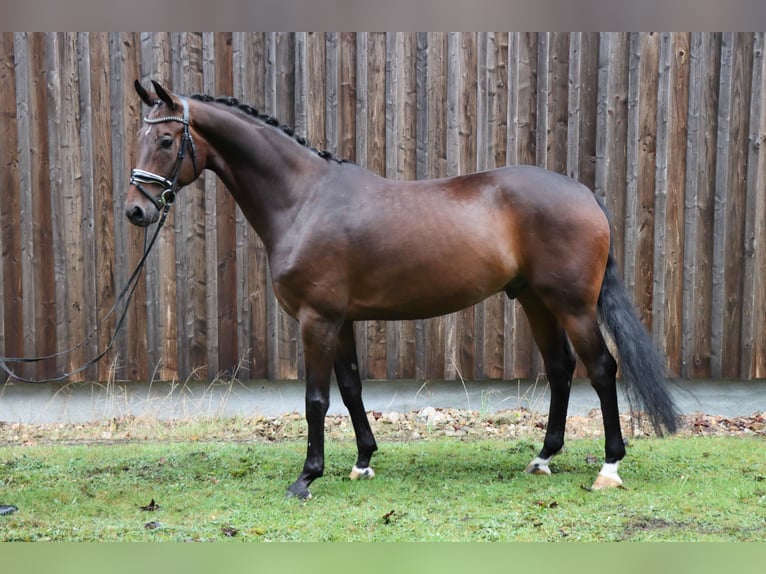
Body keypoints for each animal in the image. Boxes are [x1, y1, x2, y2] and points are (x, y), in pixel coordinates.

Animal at [127, 80, 684, 500]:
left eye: (166, 141)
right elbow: (351, 389)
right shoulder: (340, 320)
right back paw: (543, 457)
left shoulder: (316, 319)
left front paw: (307, 477)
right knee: (561, 368)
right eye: (139, 135)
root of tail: (585, 193)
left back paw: (609, 468)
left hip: (573, 305)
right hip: (535, 301)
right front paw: (362, 462)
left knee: (602, 369)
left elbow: (315, 398)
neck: (304, 200)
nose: (136, 210)